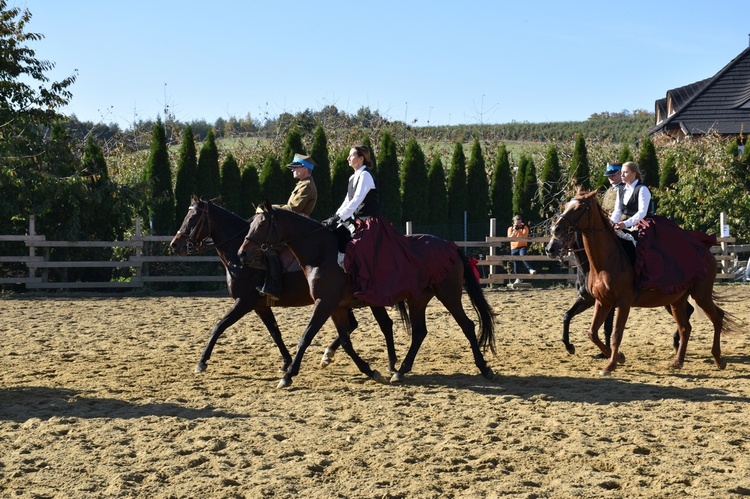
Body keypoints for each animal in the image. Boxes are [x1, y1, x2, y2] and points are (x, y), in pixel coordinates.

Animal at [170, 195, 406, 376]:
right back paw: (331, 356)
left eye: (193, 218)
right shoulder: (260, 305)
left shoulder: (244, 302)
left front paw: (201, 362)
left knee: (384, 324)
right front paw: (286, 362)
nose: (175, 245)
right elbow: (275, 332)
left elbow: (219, 326)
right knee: (355, 326)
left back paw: (391, 364)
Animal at [239, 201, 500, 388]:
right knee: (419, 332)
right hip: (418, 299)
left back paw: (484, 368)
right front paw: (369, 370)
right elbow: (345, 341)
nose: (242, 254)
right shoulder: (336, 307)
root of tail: (450, 245)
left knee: (466, 325)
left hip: (449, 294)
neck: (322, 253)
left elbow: (307, 336)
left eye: (261, 226)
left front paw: (288, 375)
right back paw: (401, 370)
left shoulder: (324, 303)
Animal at [544, 230, 696, 356]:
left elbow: (607, 328)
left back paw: (677, 343)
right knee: (689, 310)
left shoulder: (609, 303)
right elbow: (567, 316)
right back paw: (677, 343)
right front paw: (569, 346)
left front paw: (606, 353)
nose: (549, 249)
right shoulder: (586, 299)